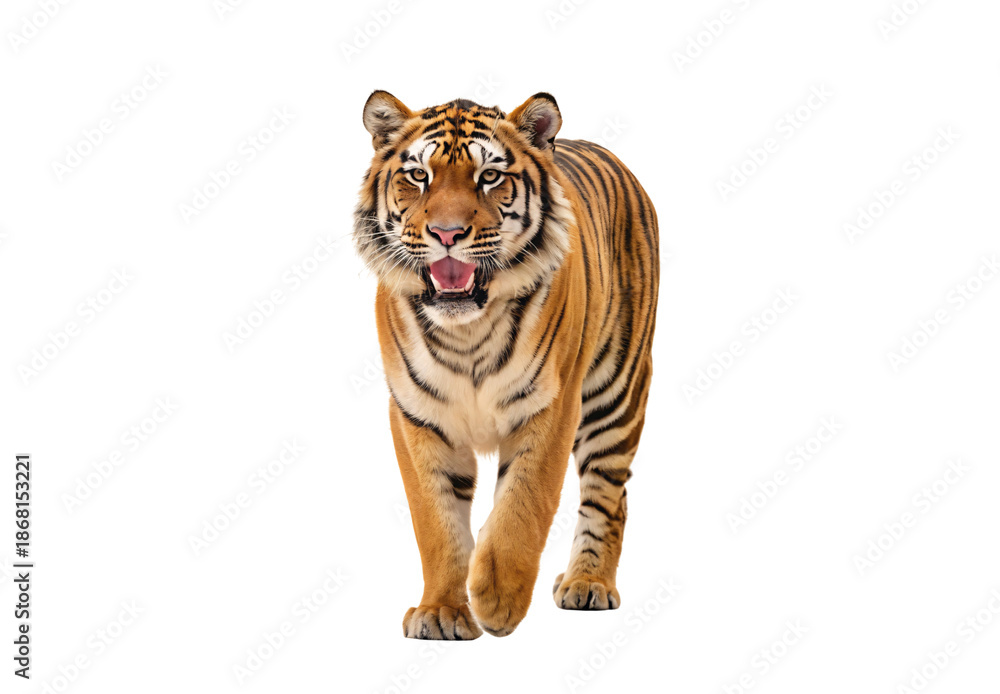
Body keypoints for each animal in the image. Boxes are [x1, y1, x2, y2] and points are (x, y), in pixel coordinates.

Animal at [353, 90, 659, 639]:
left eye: (490, 176)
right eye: (419, 175)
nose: (447, 233)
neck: (466, 330)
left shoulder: (552, 404)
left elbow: (524, 504)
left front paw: (497, 599)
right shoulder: (415, 413)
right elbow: (436, 520)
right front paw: (441, 611)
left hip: (617, 390)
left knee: (609, 493)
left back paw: (588, 583)